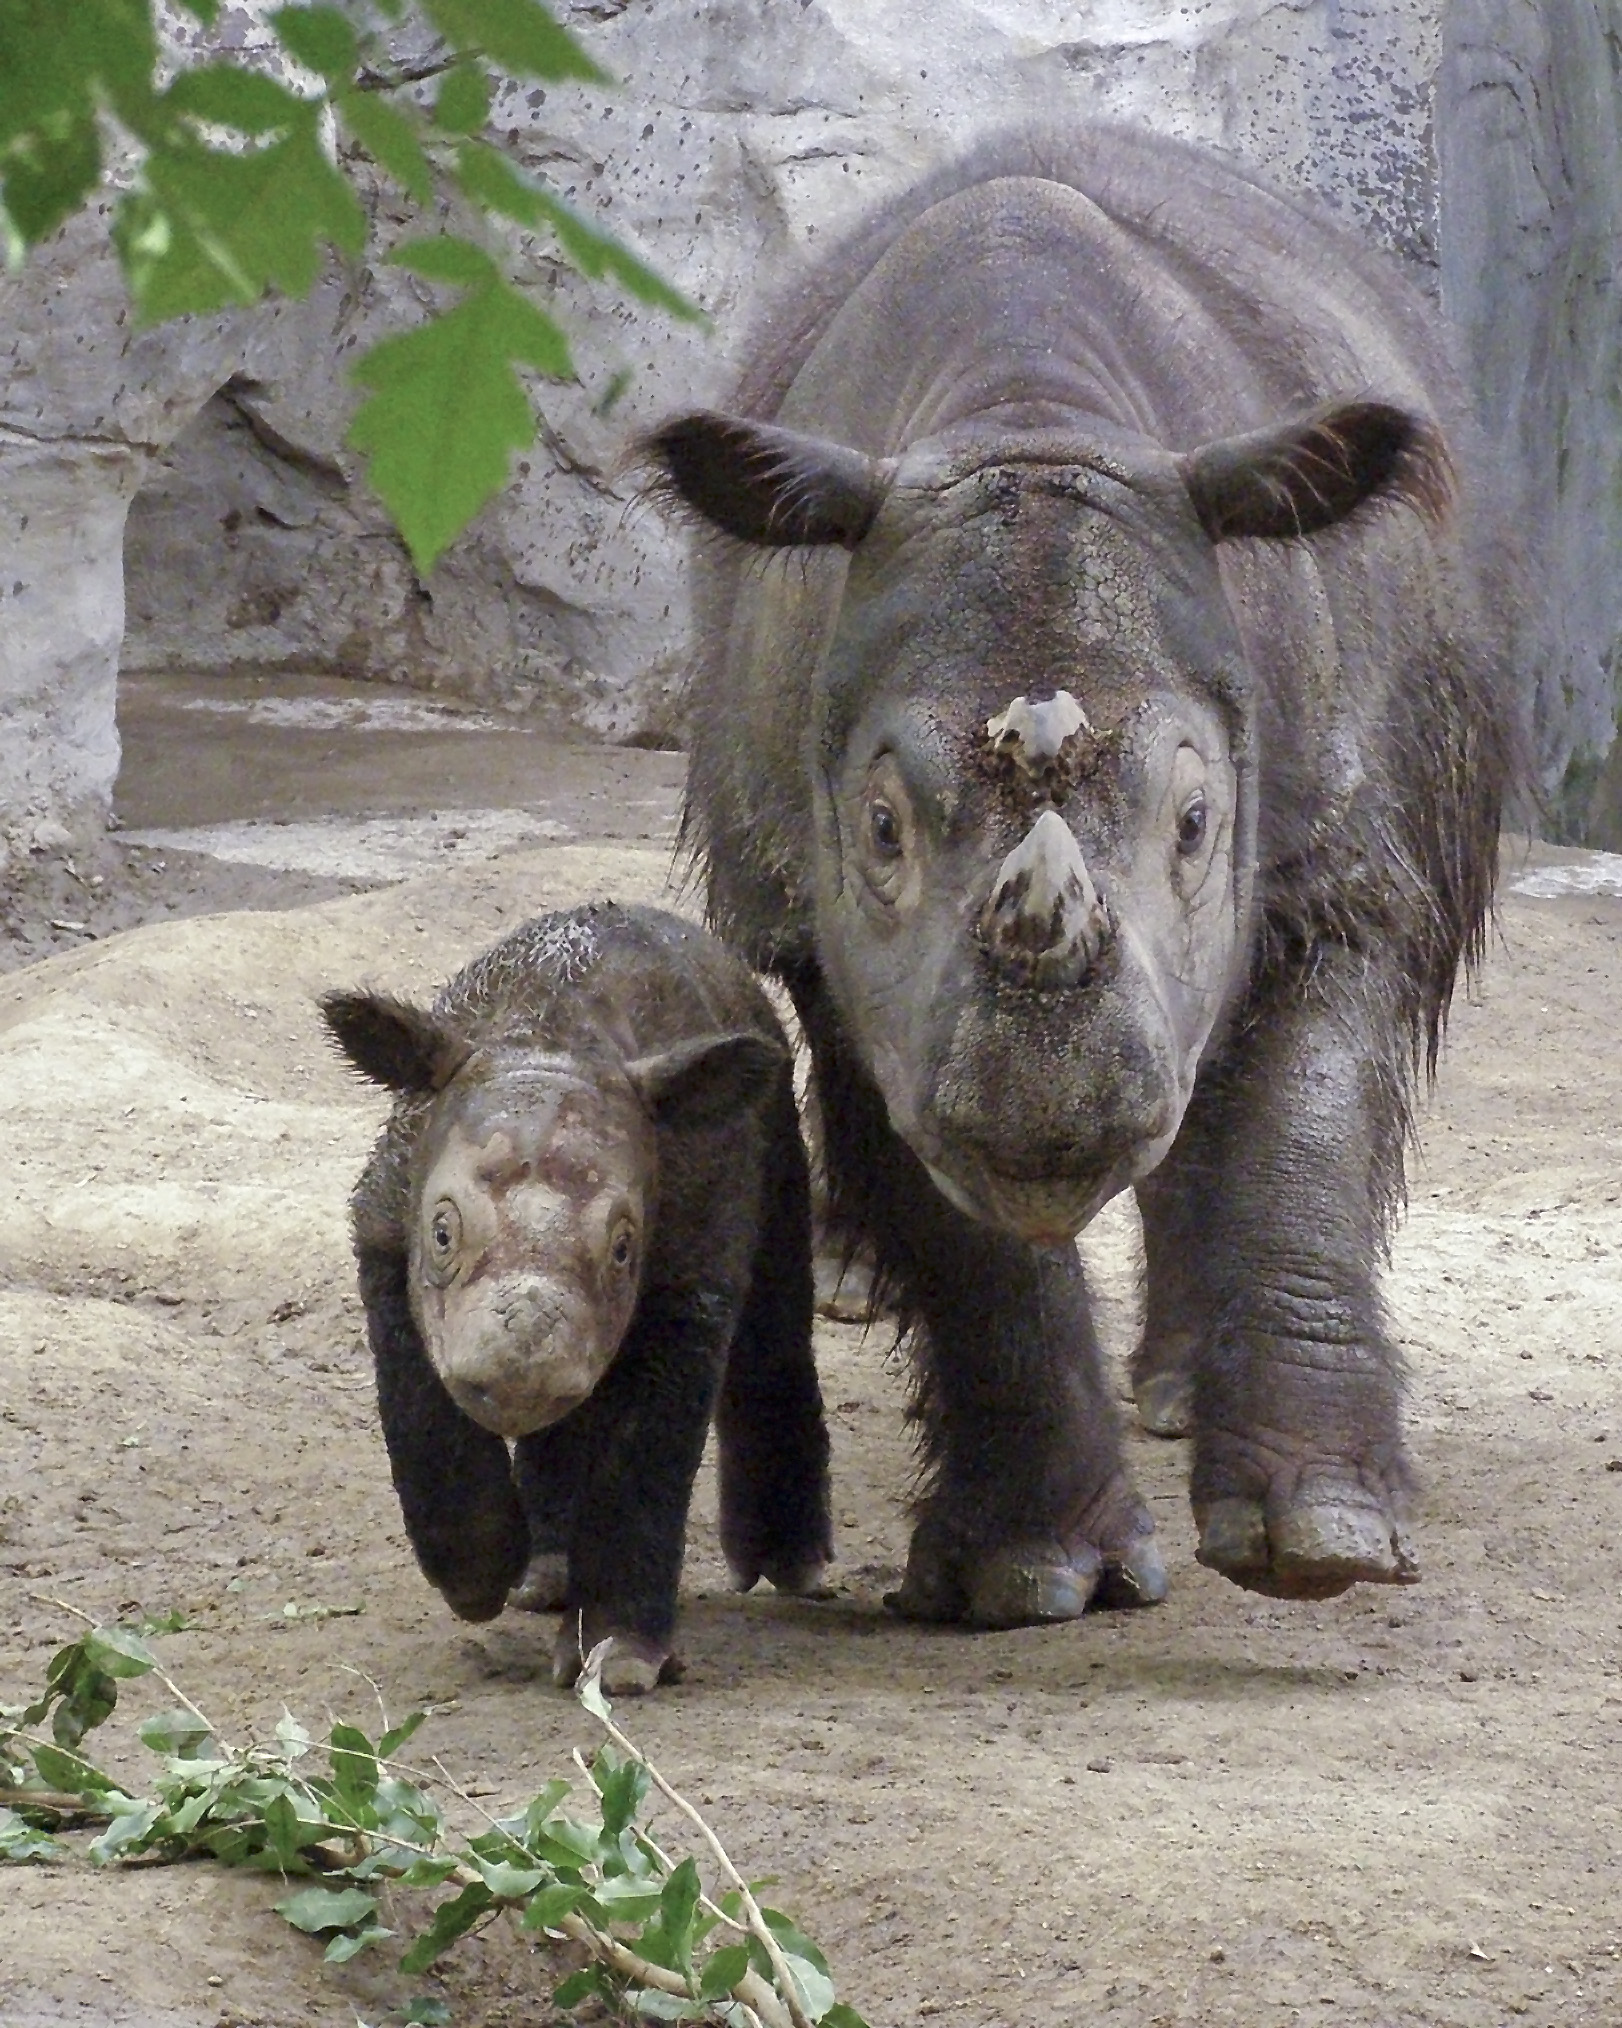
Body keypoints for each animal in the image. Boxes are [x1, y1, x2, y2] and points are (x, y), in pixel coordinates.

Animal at [328, 908, 835, 1695]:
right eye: (440, 1233)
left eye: (625, 1249)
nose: (521, 1371)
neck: (553, 1036)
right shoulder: (385, 1227)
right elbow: (421, 1413)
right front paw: (477, 1581)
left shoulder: (688, 1273)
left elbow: (645, 1450)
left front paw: (620, 1661)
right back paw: (541, 1578)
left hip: (774, 1109)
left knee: (773, 1320)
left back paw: (792, 1569)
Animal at [644, 126, 1524, 1622]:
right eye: (879, 829)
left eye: (1196, 821)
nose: (1053, 1127)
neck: (1026, 413)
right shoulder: (833, 937)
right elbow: (958, 1222)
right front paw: (1028, 1579)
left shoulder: (1337, 860)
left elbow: (1305, 1122)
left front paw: (1321, 1544)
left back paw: (1173, 1398)